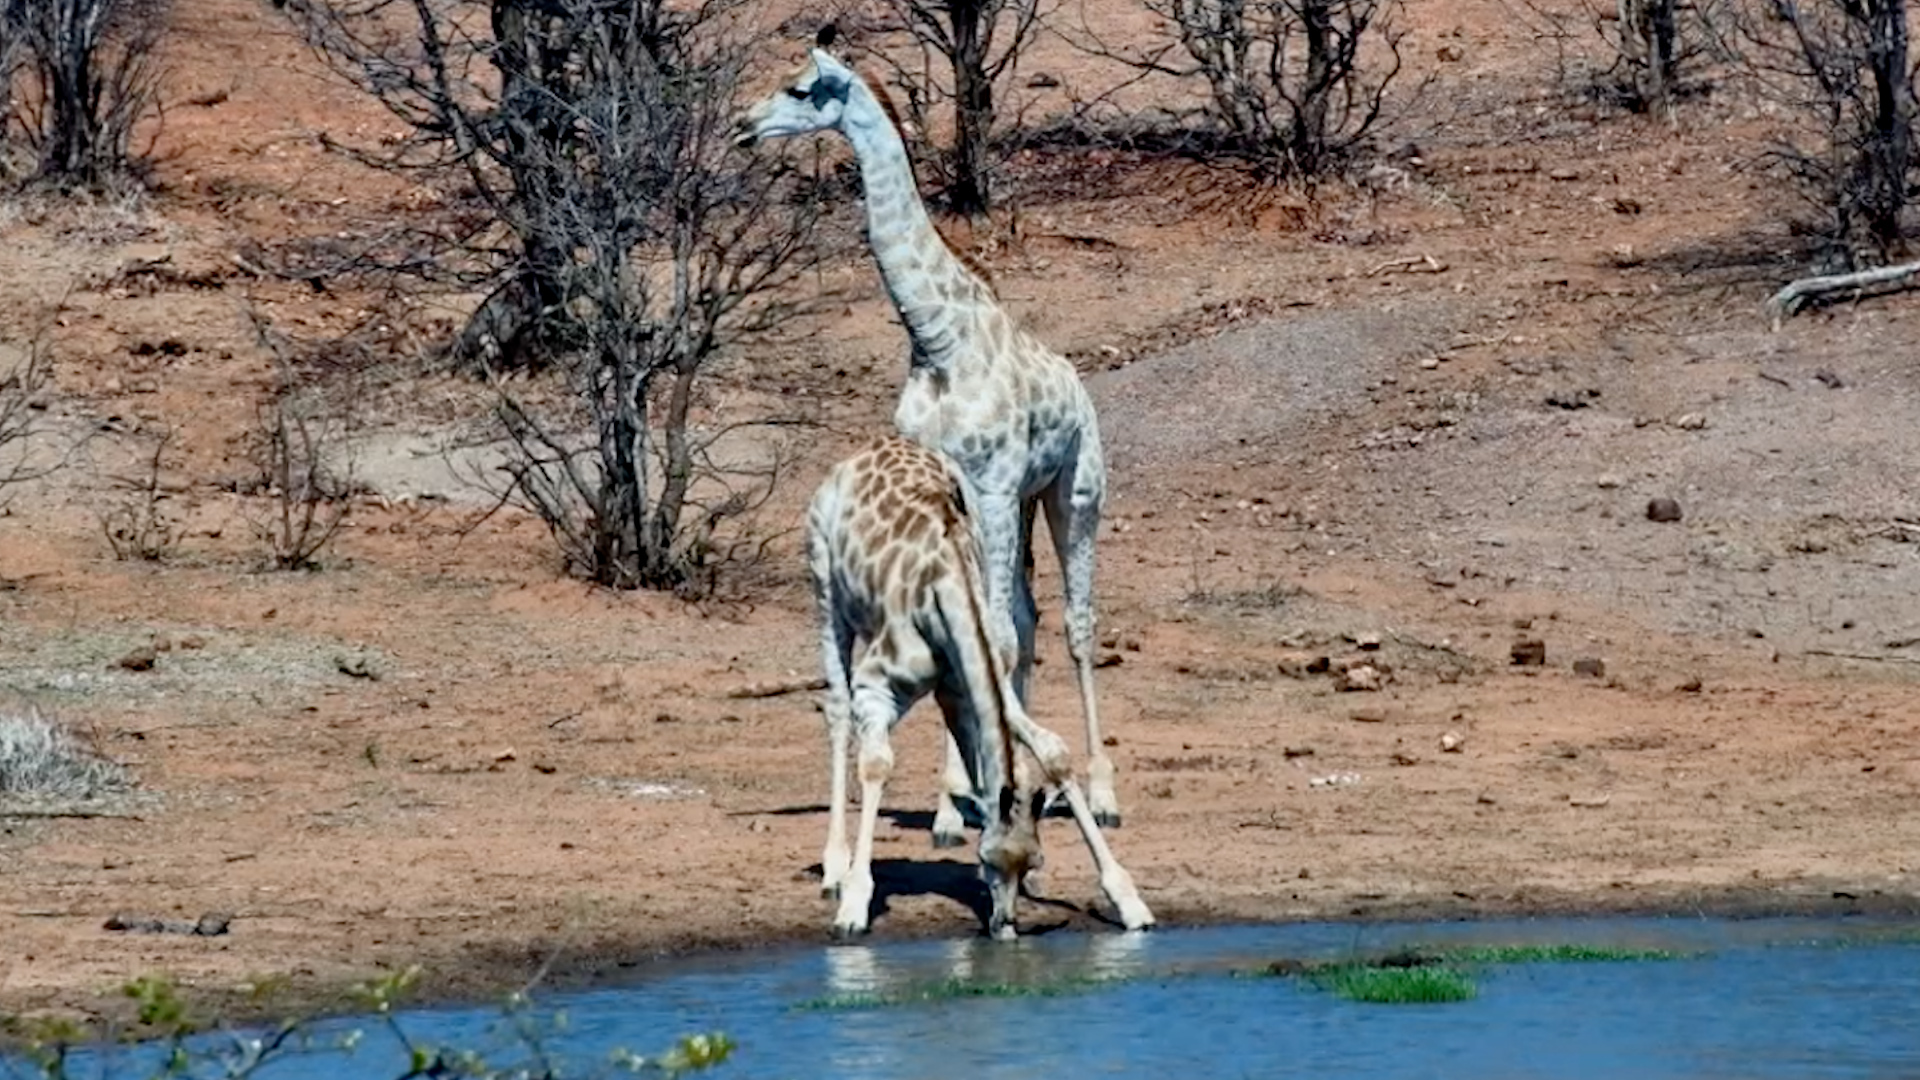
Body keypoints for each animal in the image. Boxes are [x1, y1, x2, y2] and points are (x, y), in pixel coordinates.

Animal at [737, 39, 1124, 845]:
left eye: (799, 89)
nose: (743, 125)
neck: (938, 338)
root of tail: (1079, 388)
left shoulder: (999, 481)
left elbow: (995, 636)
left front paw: (982, 789)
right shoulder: (951, 484)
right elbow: (981, 632)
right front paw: (955, 802)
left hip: (1072, 491)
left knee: (1075, 624)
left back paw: (1100, 791)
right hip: (1018, 506)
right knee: (1028, 618)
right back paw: (1023, 779)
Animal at [807, 435, 1153, 939]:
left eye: (1032, 862)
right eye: (988, 859)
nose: (1003, 925)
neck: (948, 592)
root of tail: (860, 454)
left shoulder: (976, 678)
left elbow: (1051, 753)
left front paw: (1129, 900)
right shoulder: (877, 687)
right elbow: (876, 763)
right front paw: (854, 905)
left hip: (949, 687)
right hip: (825, 589)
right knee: (835, 710)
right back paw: (834, 869)